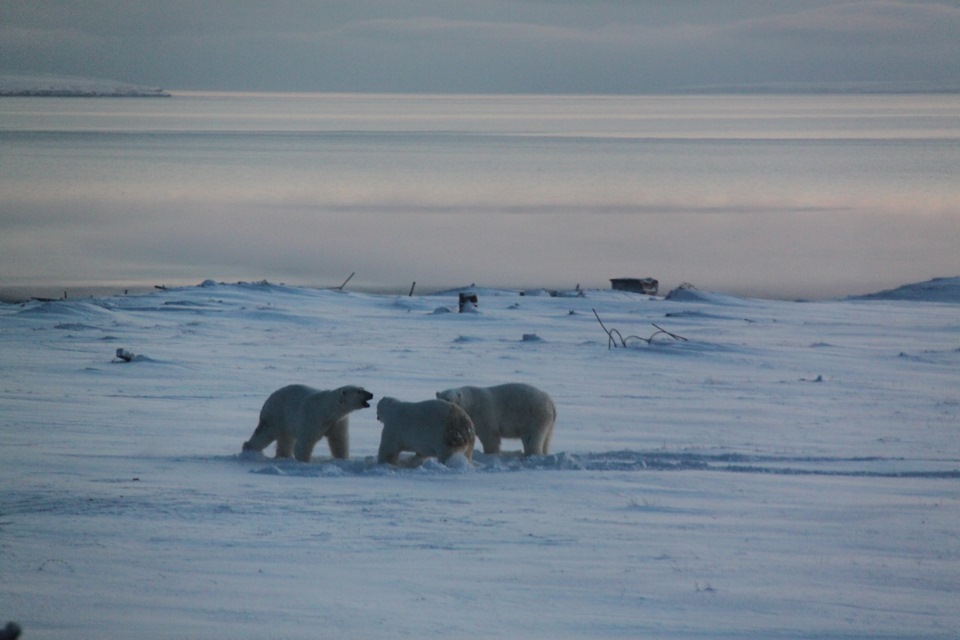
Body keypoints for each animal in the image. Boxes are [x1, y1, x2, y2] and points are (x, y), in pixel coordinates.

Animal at [242, 382, 374, 462]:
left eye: (362, 388)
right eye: (358, 391)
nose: (371, 394)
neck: (328, 409)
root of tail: (268, 399)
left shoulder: (338, 422)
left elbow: (339, 440)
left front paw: (342, 458)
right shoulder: (313, 417)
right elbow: (305, 441)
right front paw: (304, 460)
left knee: (285, 439)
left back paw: (284, 455)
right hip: (276, 415)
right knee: (266, 433)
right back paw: (248, 448)